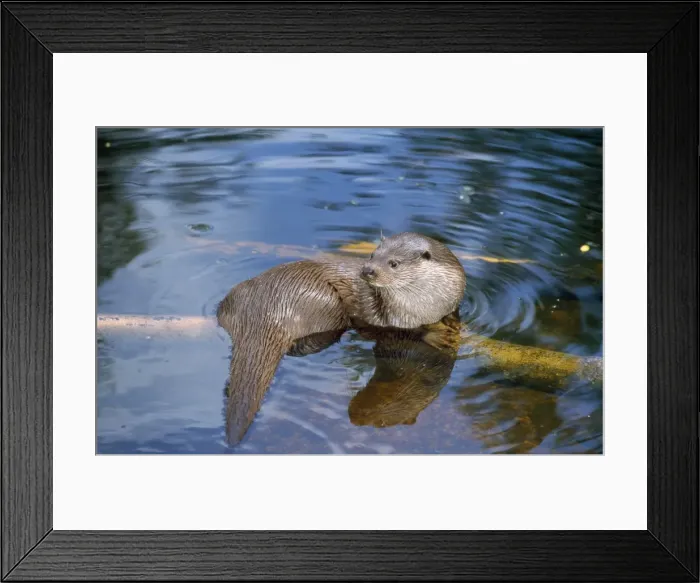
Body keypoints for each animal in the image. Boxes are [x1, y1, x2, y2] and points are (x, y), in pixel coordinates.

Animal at [216, 232, 466, 445]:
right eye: (373, 255)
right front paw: (435, 336)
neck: (428, 307)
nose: (368, 271)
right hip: (327, 302)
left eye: (393, 263)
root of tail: (267, 307)